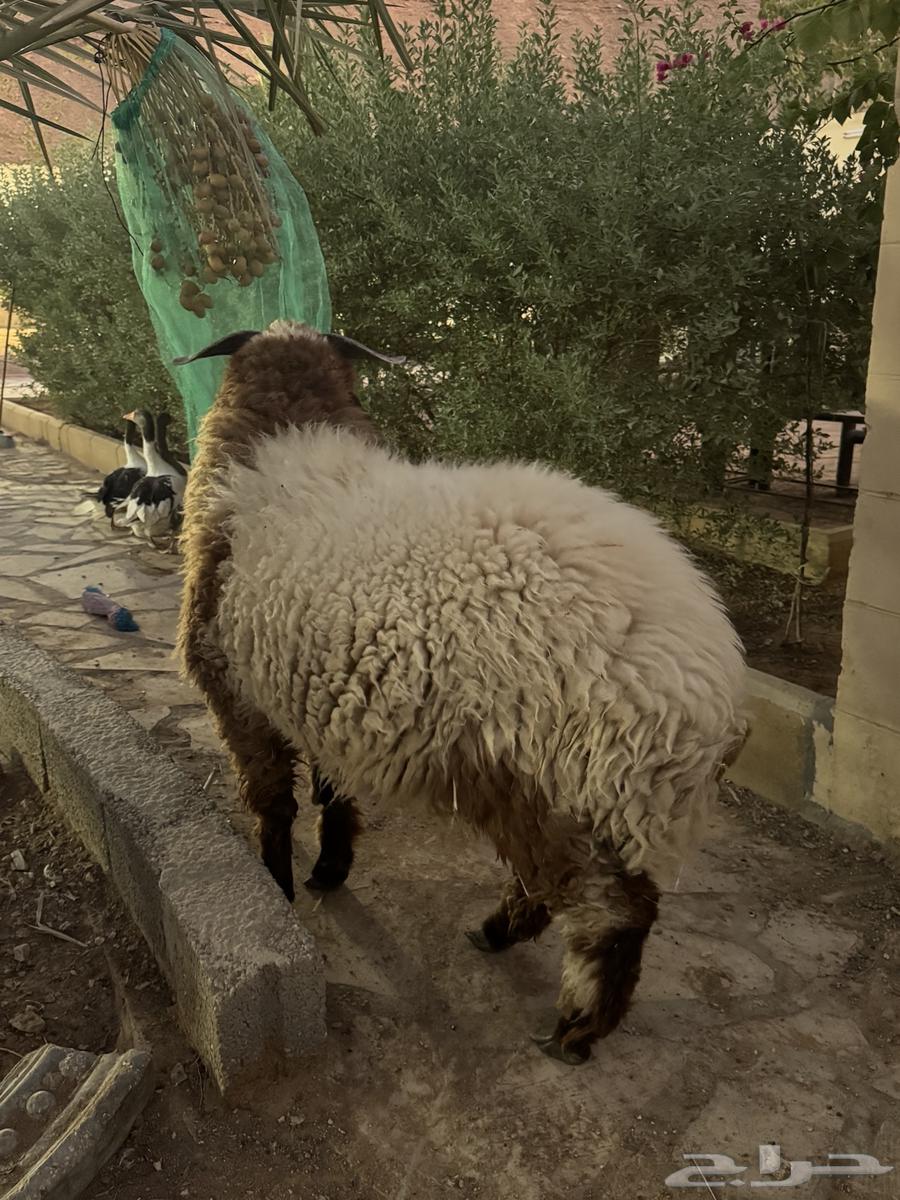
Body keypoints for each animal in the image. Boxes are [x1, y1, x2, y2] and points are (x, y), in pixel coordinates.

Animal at [175, 321, 747, 1066]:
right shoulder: (328, 690)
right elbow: (334, 790)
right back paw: (501, 935)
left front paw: (277, 884)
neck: (284, 435)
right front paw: (331, 866)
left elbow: (272, 800)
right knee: (567, 890)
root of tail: (714, 685)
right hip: (583, 796)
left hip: (575, 785)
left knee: (612, 913)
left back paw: (574, 1026)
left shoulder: (236, 689)